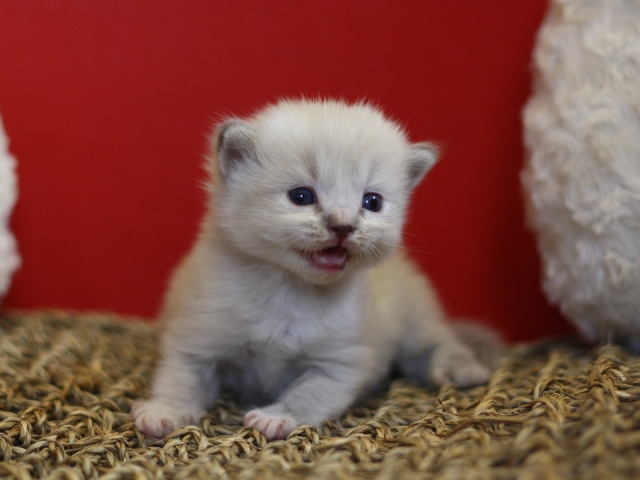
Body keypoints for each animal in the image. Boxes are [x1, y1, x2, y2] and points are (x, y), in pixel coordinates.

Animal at [131, 99, 496, 440]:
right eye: (301, 196)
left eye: (372, 202)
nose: (343, 226)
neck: (287, 289)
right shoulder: (194, 342)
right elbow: (179, 381)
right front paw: (163, 413)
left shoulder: (339, 365)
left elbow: (306, 395)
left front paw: (276, 418)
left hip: (414, 320)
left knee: (436, 342)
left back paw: (463, 370)